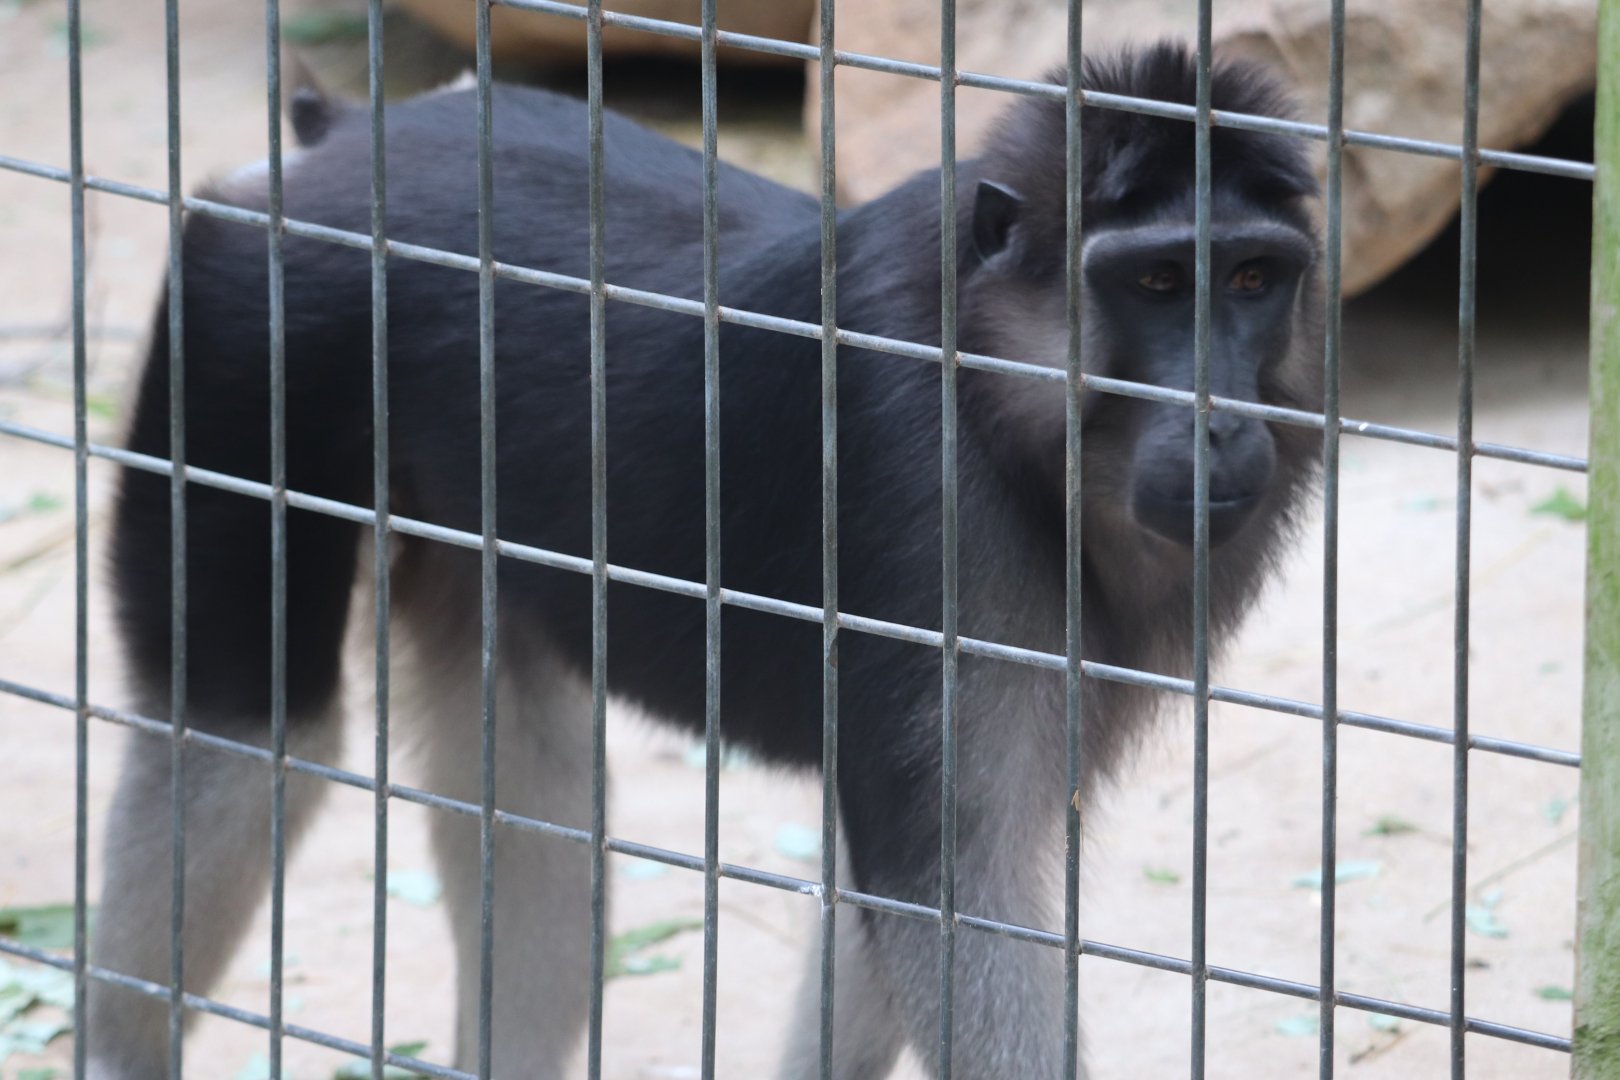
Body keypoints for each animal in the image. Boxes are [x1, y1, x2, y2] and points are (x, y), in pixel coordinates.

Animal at [87, 42, 1323, 1079]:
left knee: (519, 787)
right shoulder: (933, 505)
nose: (1222, 424)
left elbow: (881, 891)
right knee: (252, 733)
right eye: (1157, 285)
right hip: (245, 328)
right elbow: (955, 893)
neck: (992, 378)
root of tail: (336, 145)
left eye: (1252, 281)